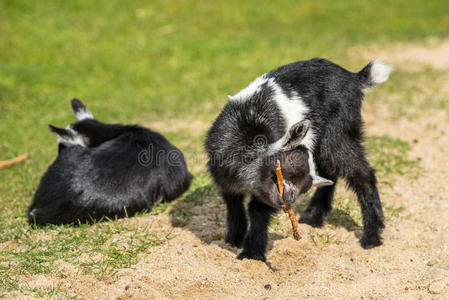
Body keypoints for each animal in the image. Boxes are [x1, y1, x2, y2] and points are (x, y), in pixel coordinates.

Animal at [205, 58, 390, 260]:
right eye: (290, 161)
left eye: (304, 188)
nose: (290, 197)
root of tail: (354, 78)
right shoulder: (224, 176)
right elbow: (234, 204)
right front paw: (234, 239)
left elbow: (257, 210)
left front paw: (251, 253)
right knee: (330, 172)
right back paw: (313, 218)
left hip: (339, 132)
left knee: (362, 174)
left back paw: (372, 237)